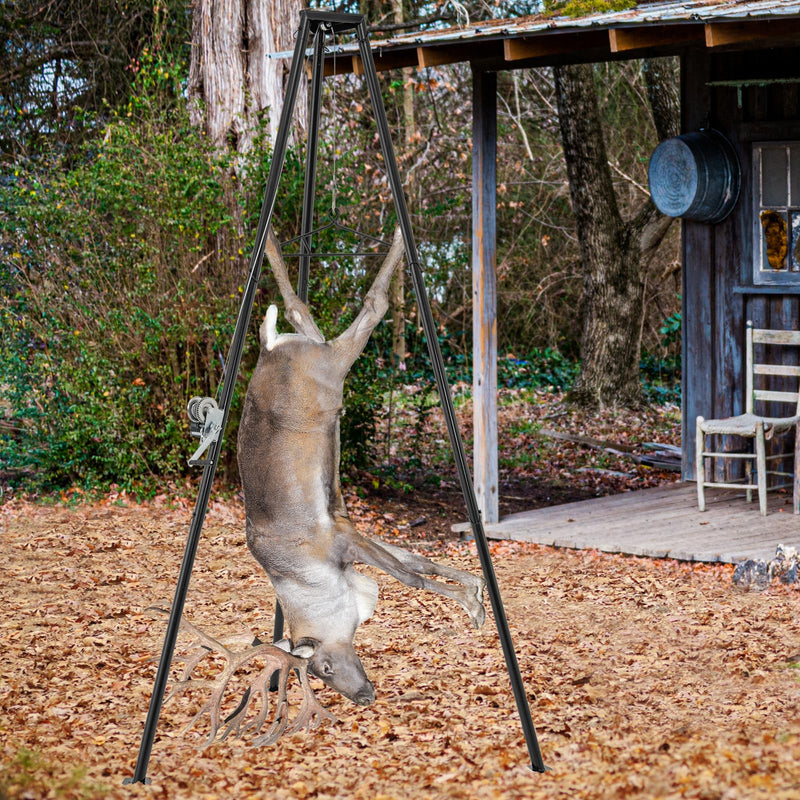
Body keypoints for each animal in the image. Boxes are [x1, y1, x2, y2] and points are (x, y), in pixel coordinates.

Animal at [160, 225, 485, 748]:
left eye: (323, 668)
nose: (364, 696)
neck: (316, 583)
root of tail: (269, 347)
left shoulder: (335, 539)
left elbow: (412, 576)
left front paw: (472, 604)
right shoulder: (348, 527)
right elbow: (417, 561)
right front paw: (476, 589)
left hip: (330, 367)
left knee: (369, 307)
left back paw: (397, 239)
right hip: (317, 349)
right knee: (298, 307)